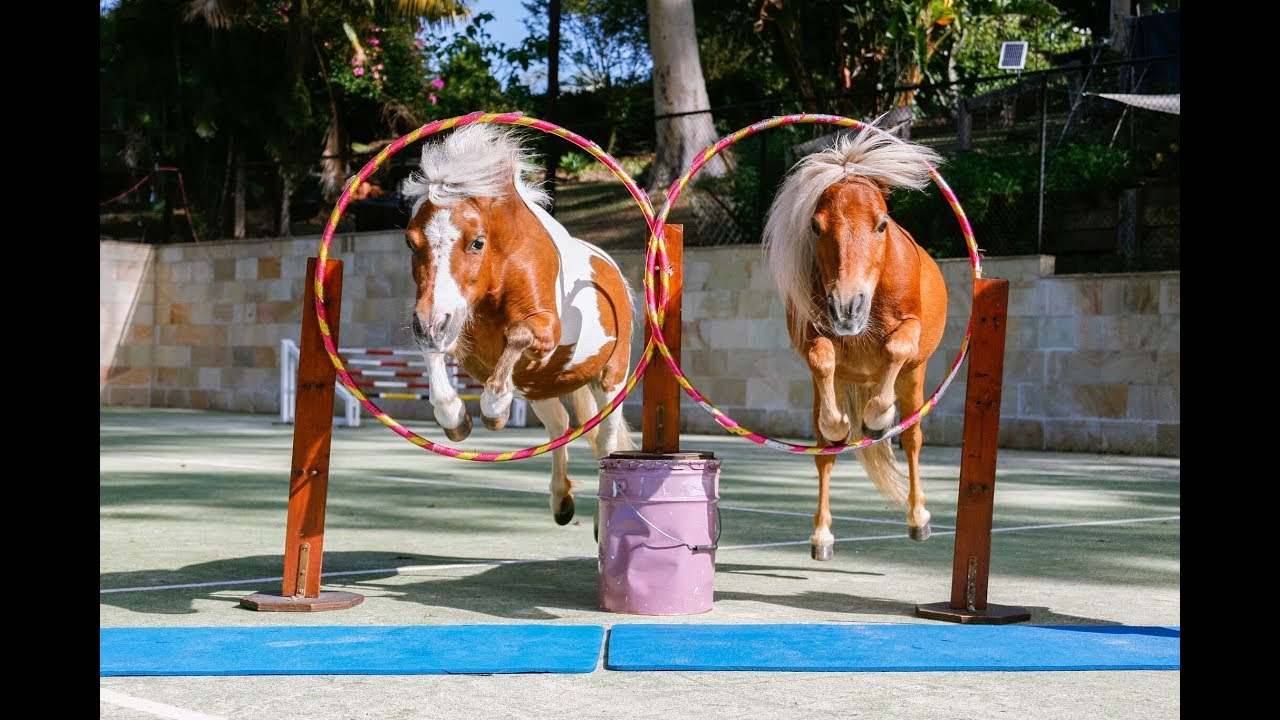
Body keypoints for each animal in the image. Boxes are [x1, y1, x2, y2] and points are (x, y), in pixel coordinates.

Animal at [399, 123, 637, 526]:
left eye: (477, 242)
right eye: (410, 242)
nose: (431, 323)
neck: (503, 268)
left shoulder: (545, 330)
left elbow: (517, 336)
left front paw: (495, 406)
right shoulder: (447, 322)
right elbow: (433, 354)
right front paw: (454, 415)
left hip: (611, 379)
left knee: (605, 441)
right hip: (541, 389)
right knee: (559, 426)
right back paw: (561, 502)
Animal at [761, 123, 947, 561]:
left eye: (881, 224)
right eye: (816, 226)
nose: (848, 307)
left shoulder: (909, 333)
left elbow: (896, 348)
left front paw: (878, 417)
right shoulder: (815, 338)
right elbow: (822, 361)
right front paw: (841, 423)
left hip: (914, 378)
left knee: (913, 439)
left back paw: (918, 517)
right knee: (824, 454)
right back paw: (822, 536)